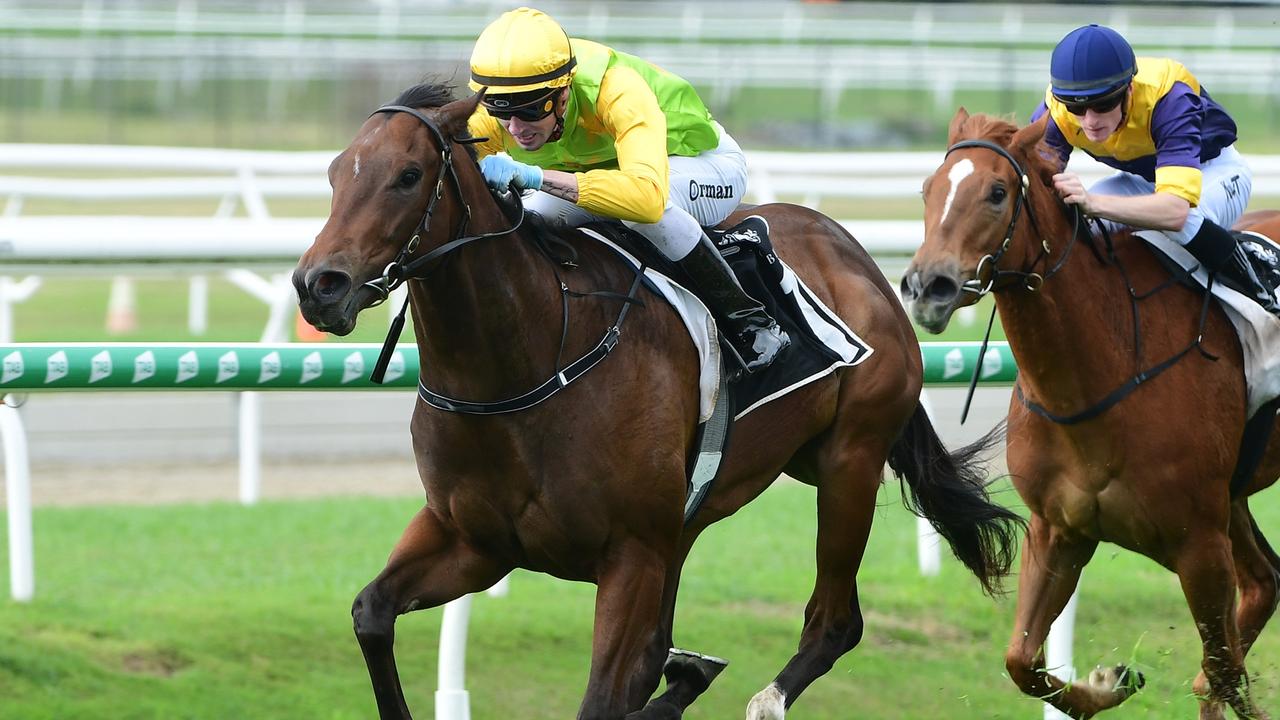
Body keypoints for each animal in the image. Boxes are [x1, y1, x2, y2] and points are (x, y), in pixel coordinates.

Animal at [294, 85, 1024, 720]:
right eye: (334, 174)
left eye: (408, 174)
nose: (318, 285)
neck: (527, 363)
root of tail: (858, 257)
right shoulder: (474, 540)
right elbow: (371, 613)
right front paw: (686, 671)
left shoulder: (632, 553)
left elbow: (604, 697)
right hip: (731, 495)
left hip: (850, 462)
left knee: (835, 623)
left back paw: (761, 696)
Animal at [901, 106, 1280, 717]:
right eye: (928, 190)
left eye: (997, 192)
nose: (925, 286)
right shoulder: (1059, 529)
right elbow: (1022, 661)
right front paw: (1110, 681)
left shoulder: (1198, 544)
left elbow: (1224, 667)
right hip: (1233, 498)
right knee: (1265, 582)